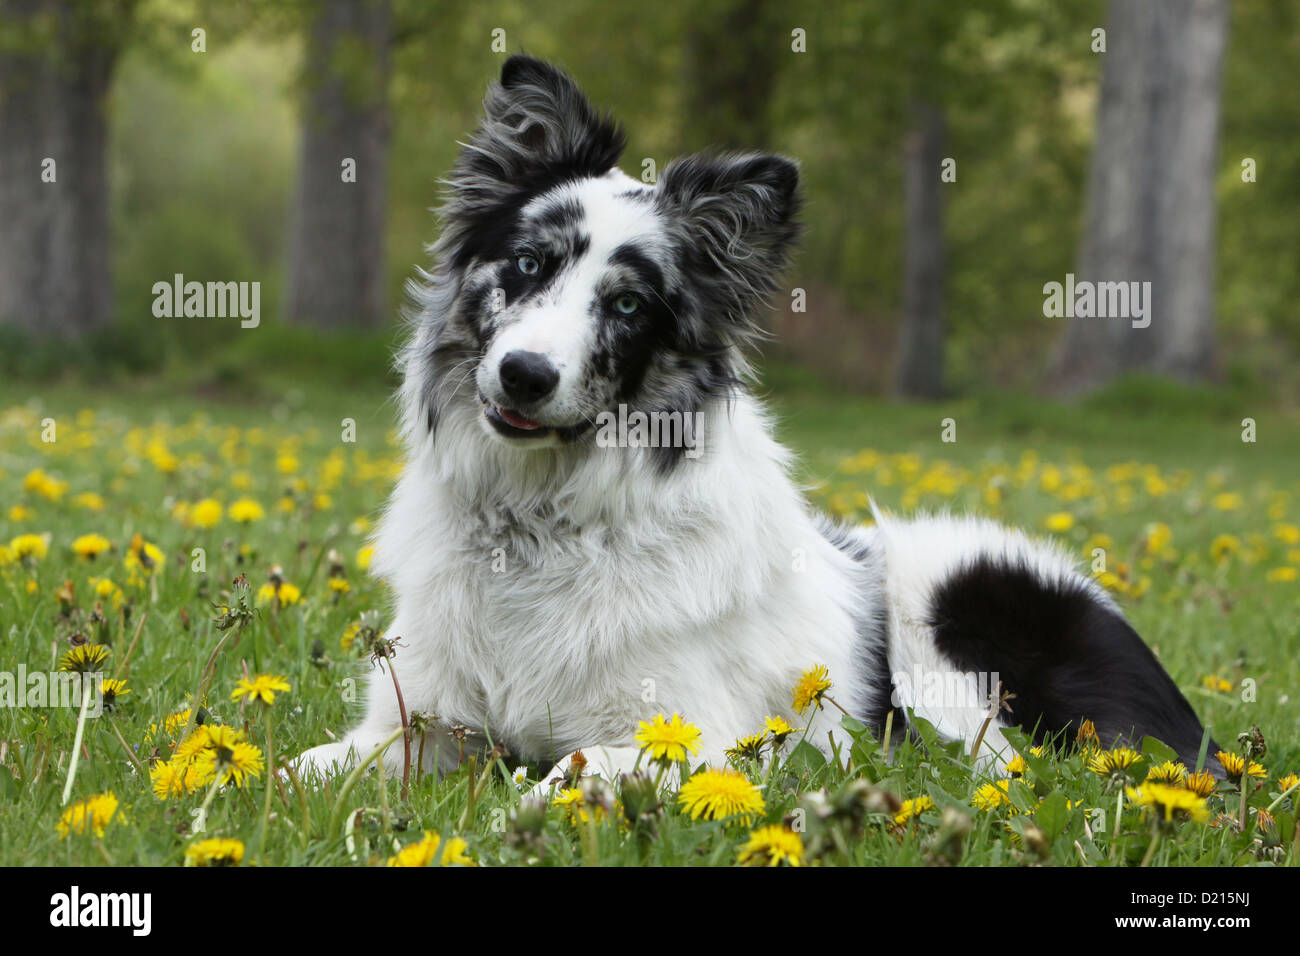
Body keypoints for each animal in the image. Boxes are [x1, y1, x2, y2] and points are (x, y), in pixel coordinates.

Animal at [297, 55, 1216, 785]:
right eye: (527, 263)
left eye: (627, 305)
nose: (525, 376)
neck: (540, 527)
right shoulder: (421, 720)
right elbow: (306, 765)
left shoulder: (696, 735)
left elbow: (568, 769)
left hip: (956, 638)